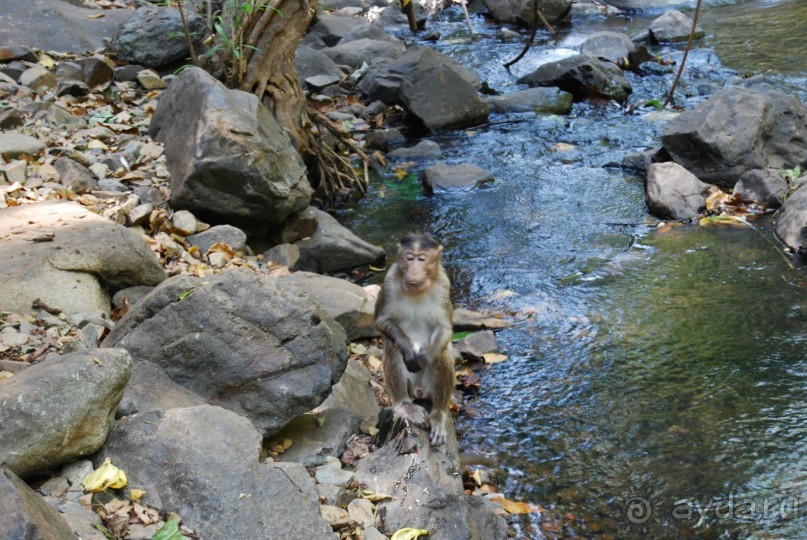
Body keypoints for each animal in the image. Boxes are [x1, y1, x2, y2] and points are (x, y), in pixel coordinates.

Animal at [374, 233, 454, 448]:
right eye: (409, 257)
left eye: (422, 258)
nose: (414, 270)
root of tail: (418, 391)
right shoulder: (389, 280)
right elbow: (382, 321)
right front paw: (409, 350)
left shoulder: (444, 284)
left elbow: (445, 327)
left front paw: (426, 355)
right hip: (410, 389)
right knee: (391, 347)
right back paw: (405, 405)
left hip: (429, 389)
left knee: (443, 354)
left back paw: (438, 415)